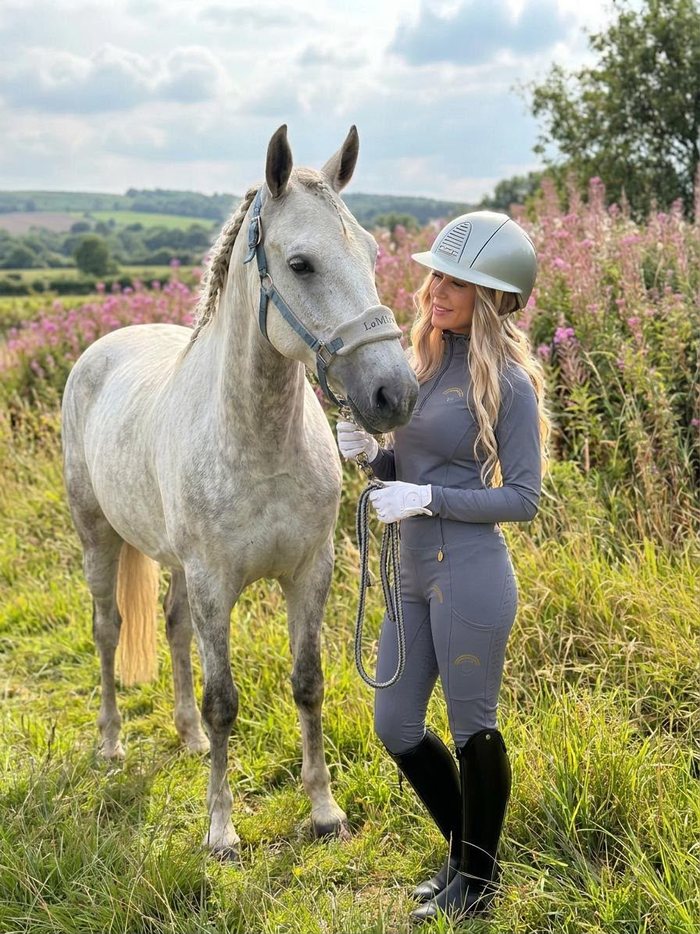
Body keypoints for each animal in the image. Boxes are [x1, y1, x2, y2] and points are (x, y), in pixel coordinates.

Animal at [61, 124, 419, 859]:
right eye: (301, 264)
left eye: (371, 252)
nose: (393, 394)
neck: (259, 439)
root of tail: (102, 348)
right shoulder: (214, 583)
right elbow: (224, 699)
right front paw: (221, 831)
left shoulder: (310, 573)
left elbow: (307, 684)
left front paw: (324, 812)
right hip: (98, 537)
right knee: (108, 631)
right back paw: (111, 745)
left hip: (172, 565)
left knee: (172, 629)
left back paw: (190, 739)